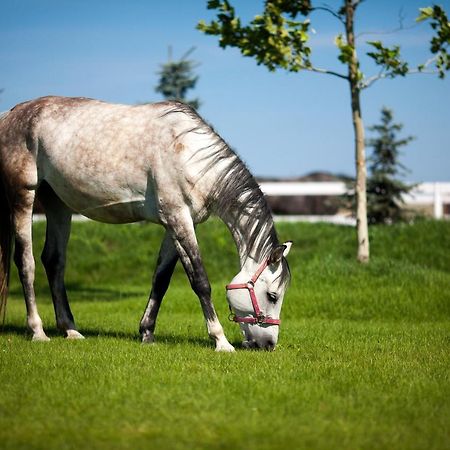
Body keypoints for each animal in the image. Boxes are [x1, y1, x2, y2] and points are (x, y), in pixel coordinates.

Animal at [0, 96, 292, 352]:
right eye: (273, 296)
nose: (268, 344)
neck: (187, 154)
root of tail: (10, 115)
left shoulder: (178, 224)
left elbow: (160, 280)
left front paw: (147, 333)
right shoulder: (178, 219)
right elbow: (200, 280)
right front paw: (221, 341)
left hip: (57, 204)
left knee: (54, 261)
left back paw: (70, 329)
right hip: (24, 196)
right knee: (26, 262)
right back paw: (38, 331)